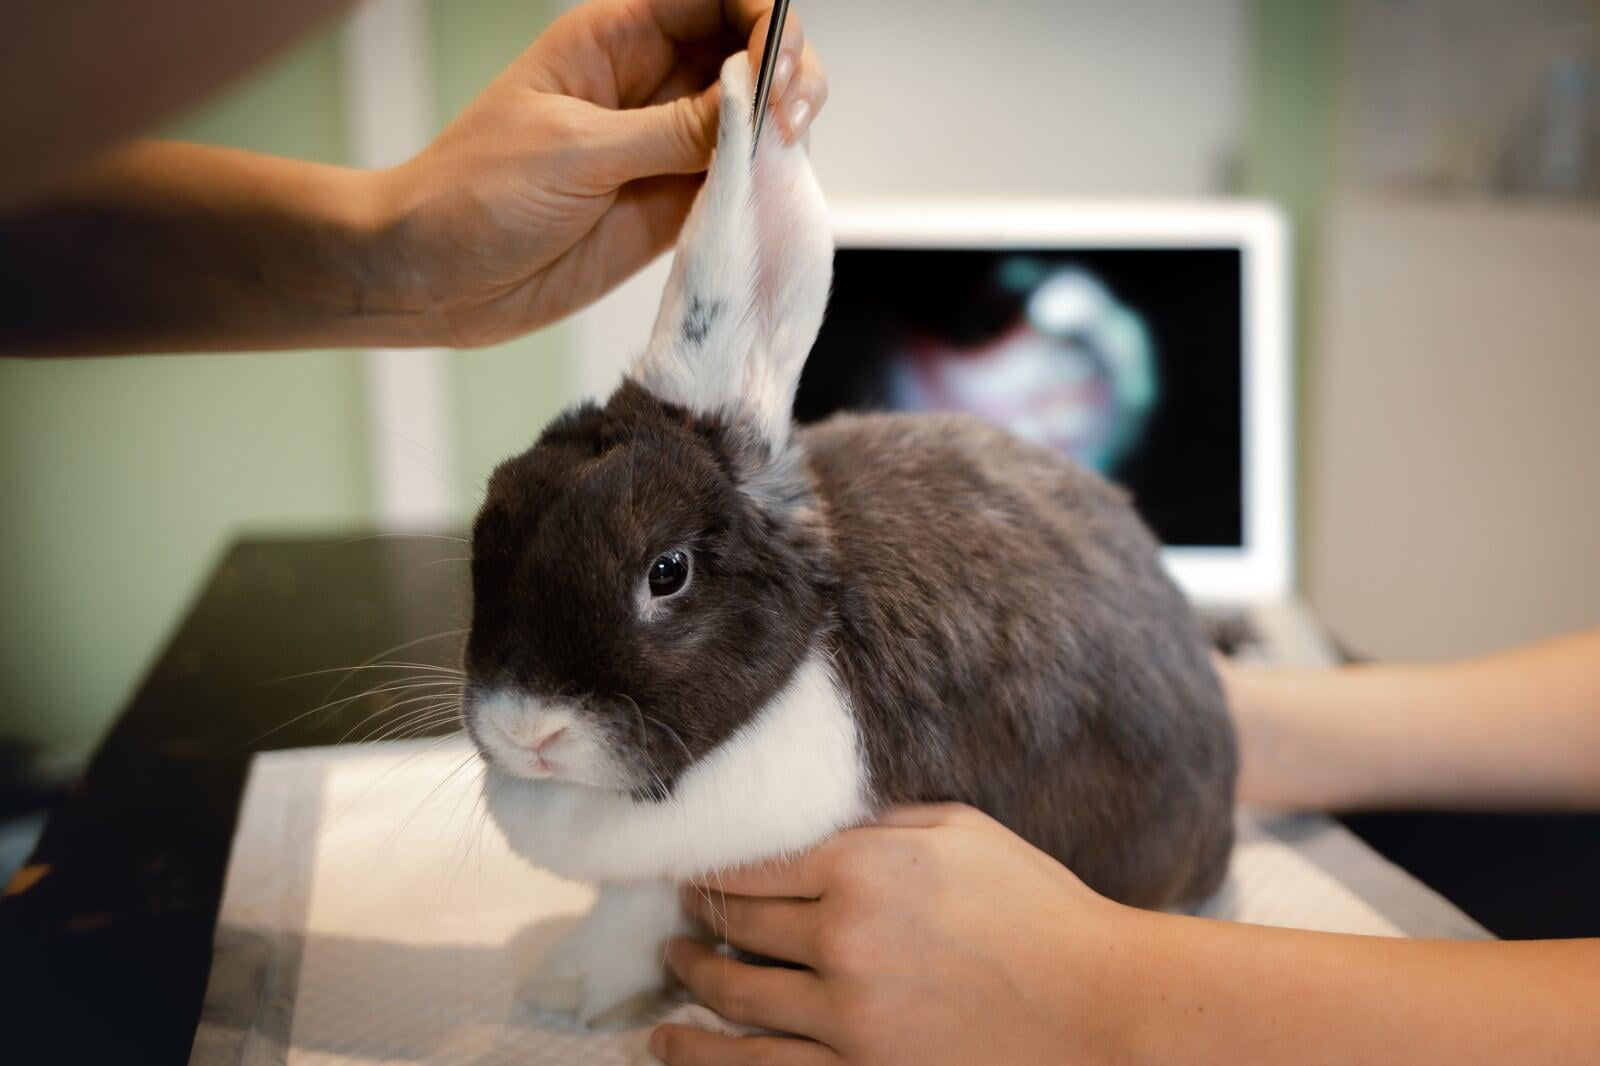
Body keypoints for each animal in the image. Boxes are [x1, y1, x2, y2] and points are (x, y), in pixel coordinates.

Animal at [465, 53, 1237, 1044]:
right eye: (490, 522)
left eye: (666, 572)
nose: (530, 730)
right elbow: (629, 909)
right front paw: (564, 994)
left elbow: (668, 912)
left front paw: (696, 1018)